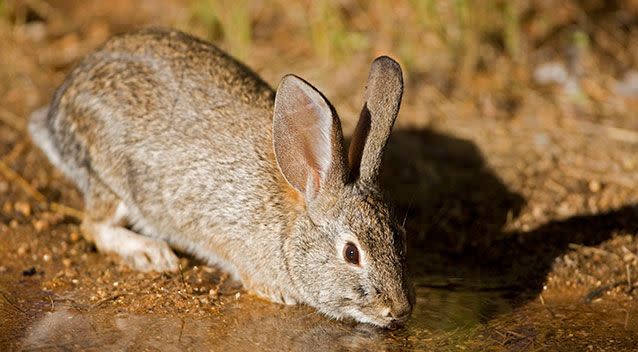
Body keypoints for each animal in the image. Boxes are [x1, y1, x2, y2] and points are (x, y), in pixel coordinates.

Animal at [28, 28, 416, 328]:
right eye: (351, 253)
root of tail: (61, 104)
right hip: (111, 178)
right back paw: (151, 253)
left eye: (400, 237)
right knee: (94, 225)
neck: (288, 228)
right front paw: (278, 294)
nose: (400, 311)